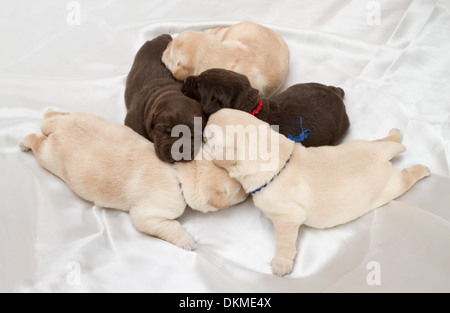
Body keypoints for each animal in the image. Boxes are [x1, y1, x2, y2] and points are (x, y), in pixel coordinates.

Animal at [20, 109, 246, 249]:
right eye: (238, 189)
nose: (247, 193)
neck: (179, 173)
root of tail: (60, 129)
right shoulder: (147, 215)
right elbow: (170, 226)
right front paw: (187, 241)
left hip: (81, 117)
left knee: (53, 117)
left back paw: (50, 113)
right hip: (49, 157)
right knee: (37, 141)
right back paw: (25, 142)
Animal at [204, 108, 428, 274]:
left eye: (206, 139)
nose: (207, 117)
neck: (278, 159)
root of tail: (382, 159)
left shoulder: (286, 217)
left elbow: (284, 242)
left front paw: (282, 264)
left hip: (390, 187)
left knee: (406, 176)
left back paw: (422, 170)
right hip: (367, 145)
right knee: (389, 144)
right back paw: (395, 135)